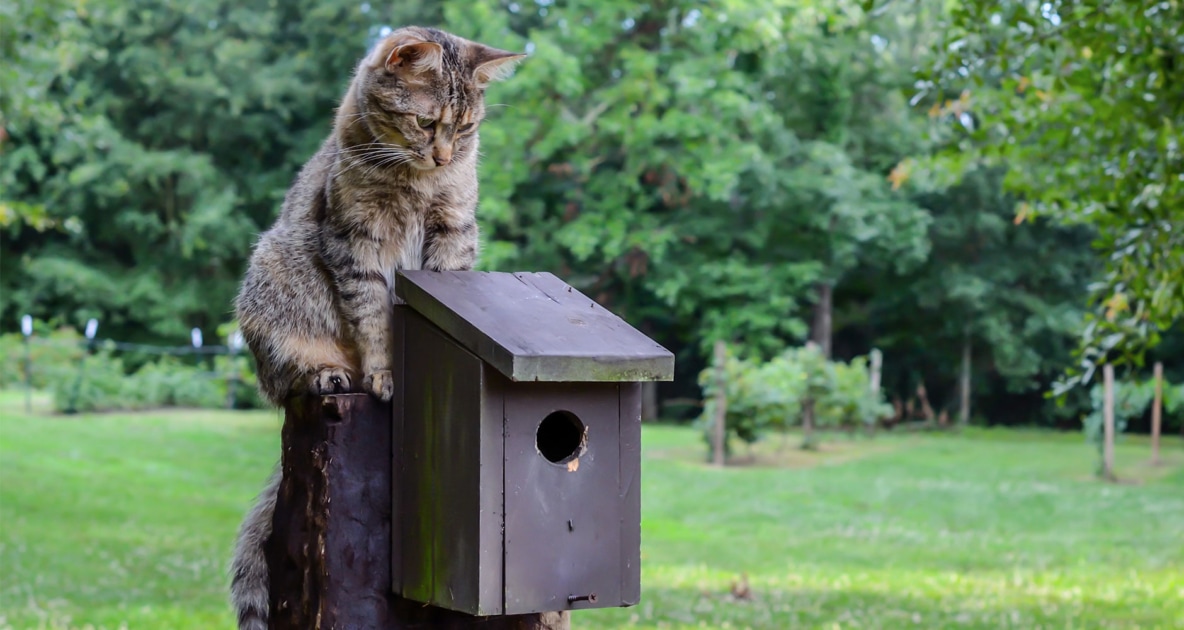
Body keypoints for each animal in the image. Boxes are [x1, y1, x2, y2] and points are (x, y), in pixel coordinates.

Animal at [229, 27, 523, 625]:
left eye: (466, 128)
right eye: (427, 123)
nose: (444, 154)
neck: (415, 179)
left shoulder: (453, 229)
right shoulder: (355, 243)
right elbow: (373, 319)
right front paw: (385, 372)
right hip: (272, 277)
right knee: (285, 380)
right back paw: (328, 373)